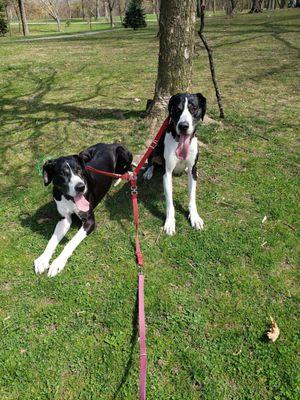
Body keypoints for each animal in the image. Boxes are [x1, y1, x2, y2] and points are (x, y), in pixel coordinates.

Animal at [34, 142, 131, 276]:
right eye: (62, 174)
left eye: (79, 170)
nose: (81, 187)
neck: (68, 198)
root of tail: (109, 144)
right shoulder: (64, 219)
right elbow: (52, 240)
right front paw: (43, 259)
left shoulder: (90, 221)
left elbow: (71, 242)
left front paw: (58, 263)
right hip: (84, 153)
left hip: (124, 153)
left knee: (128, 168)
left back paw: (122, 177)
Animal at [144, 92, 206, 236]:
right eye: (177, 109)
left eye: (193, 108)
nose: (183, 126)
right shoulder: (167, 173)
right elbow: (169, 202)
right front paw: (169, 223)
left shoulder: (192, 171)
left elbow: (192, 197)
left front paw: (195, 217)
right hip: (154, 149)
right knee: (151, 162)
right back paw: (148, 172)